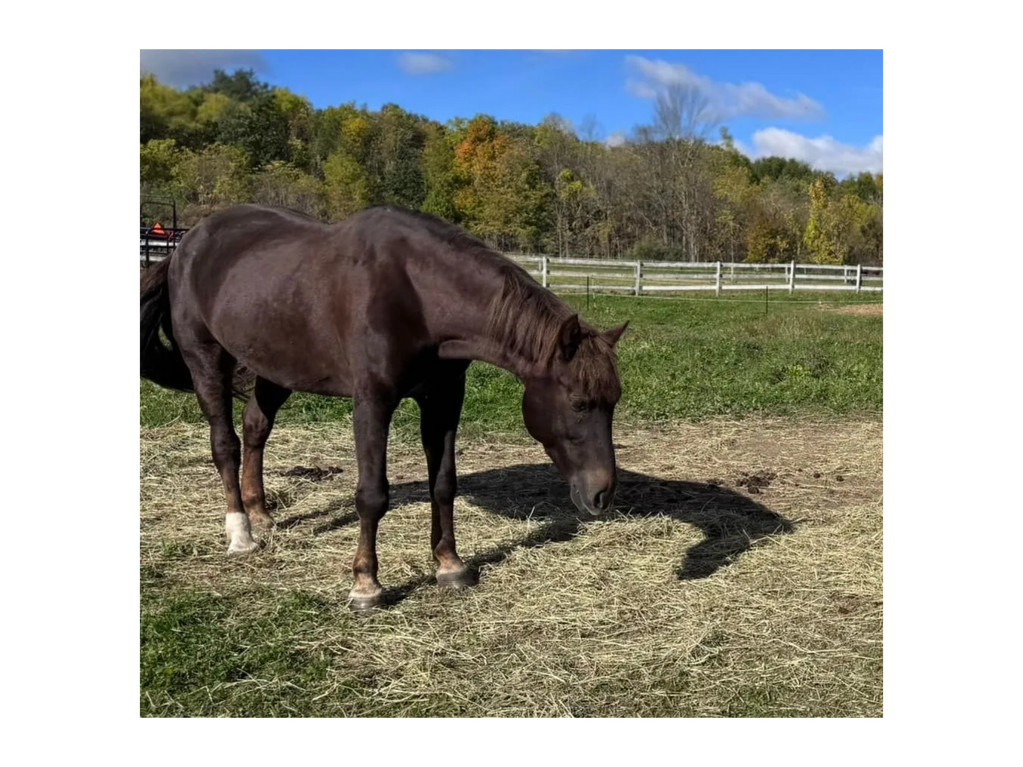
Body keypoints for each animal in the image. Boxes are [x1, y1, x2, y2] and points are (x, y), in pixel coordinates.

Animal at [137, 203, 628, 612]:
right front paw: (366, 585)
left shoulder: (444, 400)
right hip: (206, 360)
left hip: (275, 367)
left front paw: (450, 565)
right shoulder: (373, 403)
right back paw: (241, 533)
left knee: (255, 427)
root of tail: (186, 245)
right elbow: (372, 495)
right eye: (580, 402)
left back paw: (261, 514)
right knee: (226, 443)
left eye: (614, 401)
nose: (602, 495)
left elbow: (443, 484)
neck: (417, 294)